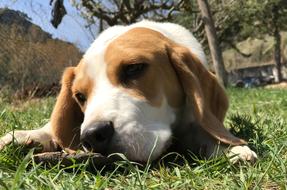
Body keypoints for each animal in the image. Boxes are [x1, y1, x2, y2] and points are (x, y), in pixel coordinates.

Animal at [0, 20, 256, 163]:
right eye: (80, 97)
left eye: (134, 68)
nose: (92, 135)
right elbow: (53, 126)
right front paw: (28, 136)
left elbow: (207, 132)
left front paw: (231, 148)